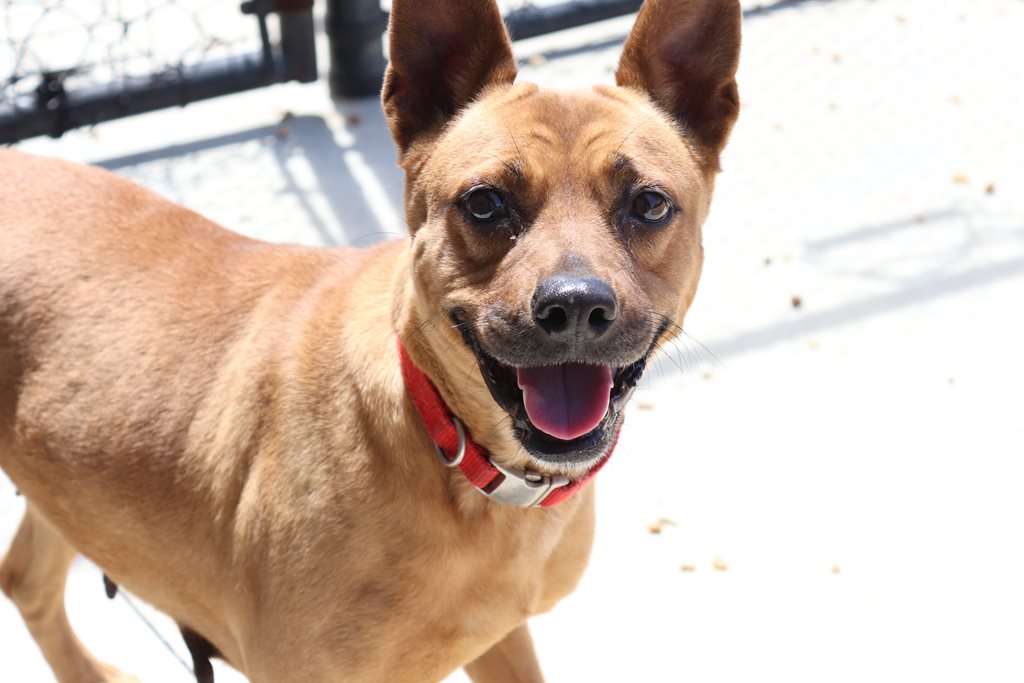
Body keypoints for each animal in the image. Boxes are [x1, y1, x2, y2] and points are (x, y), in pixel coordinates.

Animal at [0, 1, 737, 679]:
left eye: (648, 203)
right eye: (484, 203)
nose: (576, 307)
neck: (453, 453)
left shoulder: (500, 641)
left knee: (27, 578)